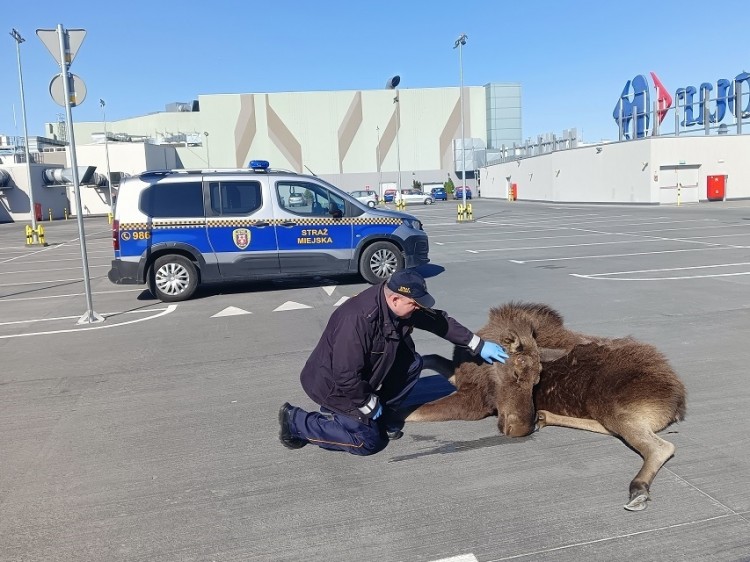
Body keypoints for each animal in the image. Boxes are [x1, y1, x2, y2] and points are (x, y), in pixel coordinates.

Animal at [408, 304, 692, 510]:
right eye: (516, 373)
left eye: (537, 381)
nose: (519, 429)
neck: (475, 362)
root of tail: (678, 402)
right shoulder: (461, 379)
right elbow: (431, 358)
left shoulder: (474, 402)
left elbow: (413, 412)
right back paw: (545, 416)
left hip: (612, 406)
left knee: (660, 446)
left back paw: (638, 488)